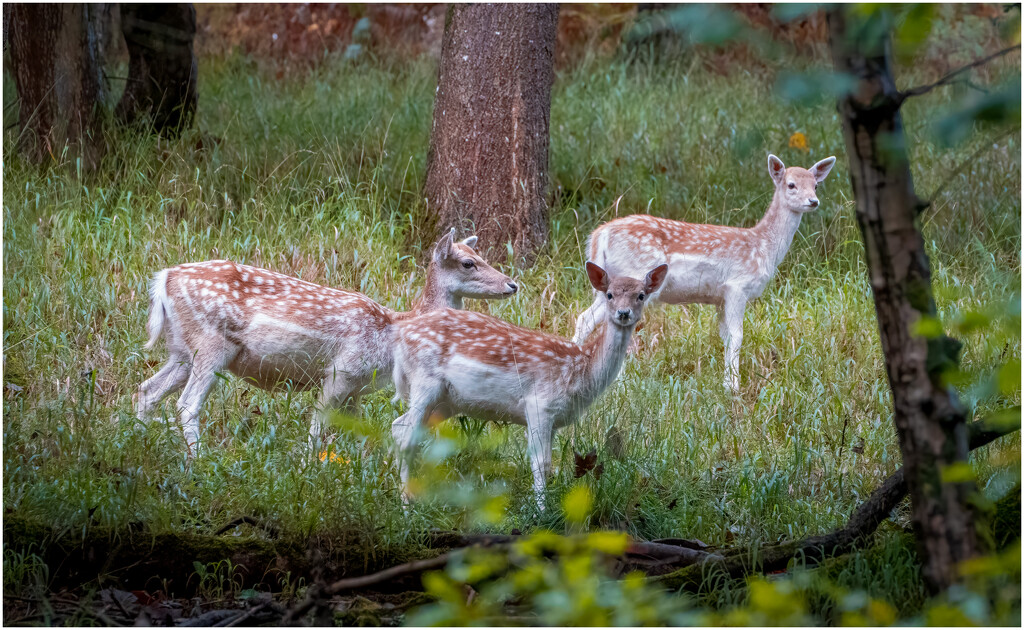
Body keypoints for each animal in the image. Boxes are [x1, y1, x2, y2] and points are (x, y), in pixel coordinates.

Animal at [134, 229, 520, 456]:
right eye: (469, 263)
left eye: (484, 257)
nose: (512, 284)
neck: (392, 331)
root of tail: (163, 278)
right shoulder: (342, 371)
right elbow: (318, 422)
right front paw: (307, 467)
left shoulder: (357, 387)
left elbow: (358, 431)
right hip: (212, 343)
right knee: (186, 404)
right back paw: (199, 461)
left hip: (181, 349)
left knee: (146, 390)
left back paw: (133, 442)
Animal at [387, 260, 667, 508]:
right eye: (609, 294)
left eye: (641, 295)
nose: (623, 313)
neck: (581, 371)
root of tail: (401, 337)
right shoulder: (539, 404)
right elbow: (541, 464)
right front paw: (541, 512)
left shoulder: (555, 418)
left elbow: (550, 464)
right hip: (425, 381)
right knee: (407, 435)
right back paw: (406, 504)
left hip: (446, 402)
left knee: (399, 426)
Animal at [573, 154, 835, 391]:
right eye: (791, 184)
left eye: (816, 184)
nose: (813, 201)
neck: (763, 248)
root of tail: (599, 235)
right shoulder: (737, 286)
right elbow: (738, 336)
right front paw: (733, 387)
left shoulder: (720, 298)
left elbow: (726, 337)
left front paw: (726, 382)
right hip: (633, 275)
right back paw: (621, 383)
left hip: (607, 284)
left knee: (584, 318)